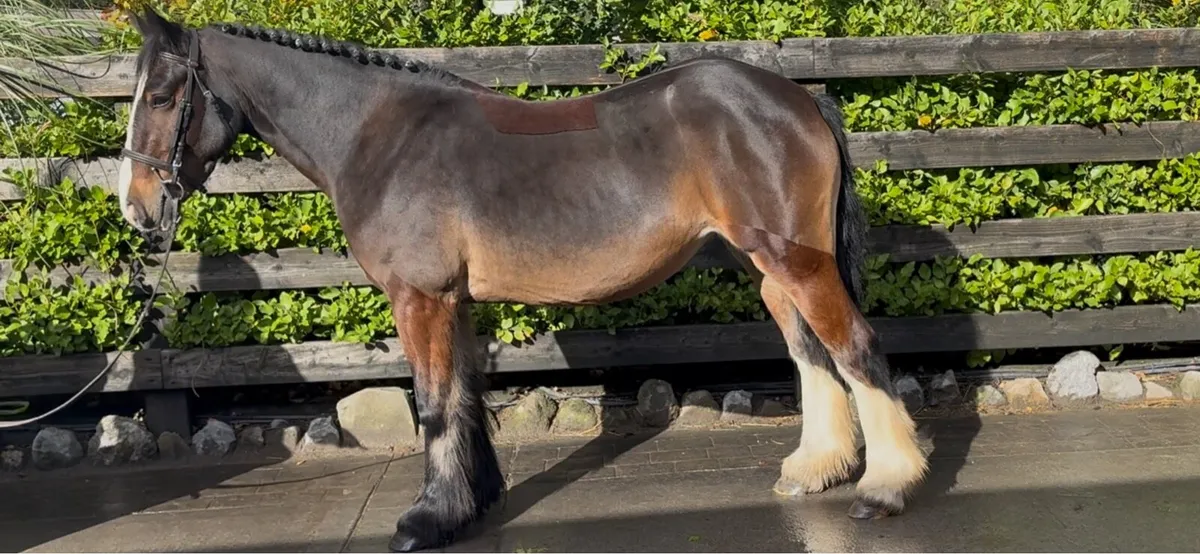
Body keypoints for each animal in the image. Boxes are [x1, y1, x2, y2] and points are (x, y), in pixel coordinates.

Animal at [117, 9, 928, 551]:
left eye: (160, 97)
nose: (136, 207)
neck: (377, 135)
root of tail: (799, 97)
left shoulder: (420, 299)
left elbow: (432, 404)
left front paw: (424, 521)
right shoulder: (452, 302)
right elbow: (463, 398)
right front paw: (470, 504)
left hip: (796, 262)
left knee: (856, 347)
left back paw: (885, 488)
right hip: (772, 273)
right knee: (812, 354)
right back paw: (814, 470)